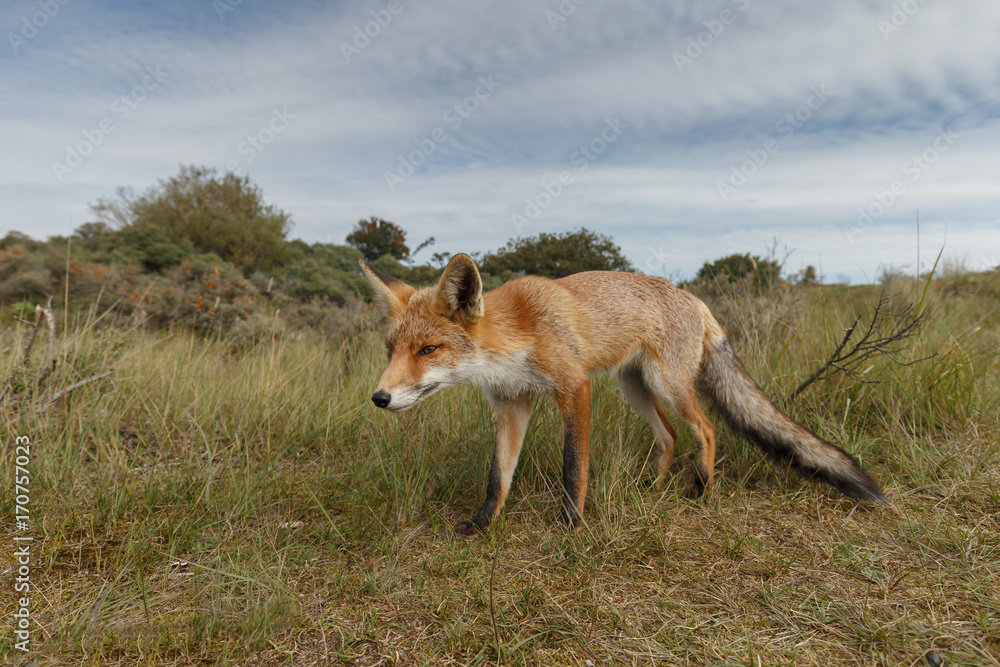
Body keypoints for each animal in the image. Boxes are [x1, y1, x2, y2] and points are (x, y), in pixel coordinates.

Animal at [360, 254, 888, 537]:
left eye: (428, 349)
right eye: (390, 349)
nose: (379, 398)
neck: (517, 334)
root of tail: (691, 296)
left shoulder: (575, 388)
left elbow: (573, 466)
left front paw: (572, 523)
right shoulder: (512, 404)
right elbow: (498, 477)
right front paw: (482, 524)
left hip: (667, 384)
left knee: (706, 429)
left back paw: (701, 489)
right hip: (635, 388)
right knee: (670, 436)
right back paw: (653, 488)